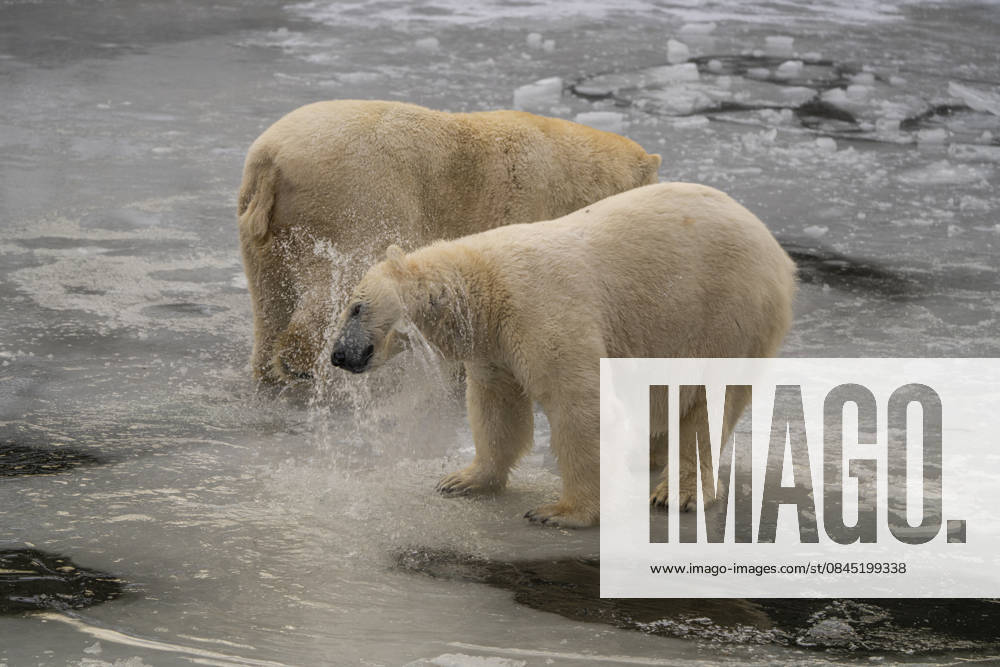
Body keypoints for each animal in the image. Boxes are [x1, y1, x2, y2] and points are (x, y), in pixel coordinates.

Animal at [237, 99, 662, 383]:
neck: (569, 174)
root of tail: (271, 158)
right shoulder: (524, 203)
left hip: (261, 230)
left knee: (270, 300)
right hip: (351, 204)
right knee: (332, 288)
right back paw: (306, 368)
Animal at [326, 182, 797, 528]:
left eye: (355, 306)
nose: (338, 355)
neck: (485, 286)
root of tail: (781, 257)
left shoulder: (540, 311)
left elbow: (579, 405)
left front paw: (562, 512)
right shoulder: (494, 343)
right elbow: (497, 406)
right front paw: (462, 479)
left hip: (725, 314)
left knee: (708, 400)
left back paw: (677, 492)